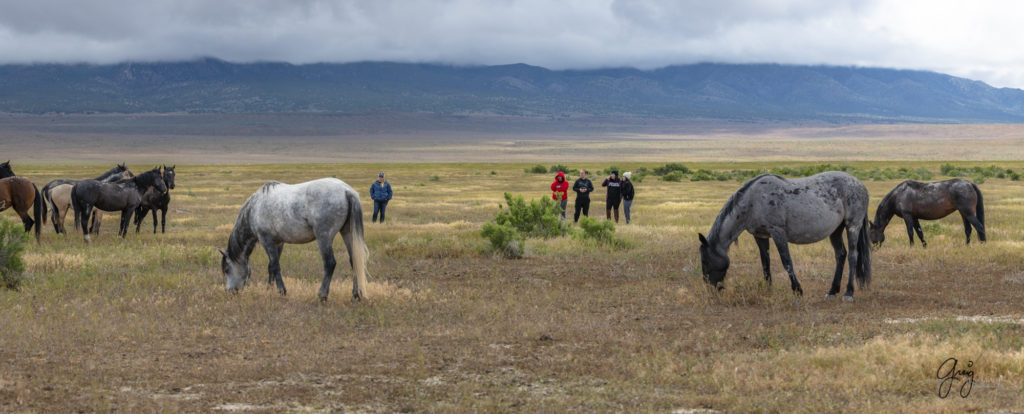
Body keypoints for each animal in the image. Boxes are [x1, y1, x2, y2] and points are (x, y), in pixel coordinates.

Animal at [218, 178, 370, 301]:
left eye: (226, 269)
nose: (230, 291)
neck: (254, 208)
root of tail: (346, 190)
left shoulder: (266, 240)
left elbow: (275, 266)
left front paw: (281, 291)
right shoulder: (278, 242)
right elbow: (271, 266)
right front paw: (269, 289)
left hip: (324, 237)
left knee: (330, 263)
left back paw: (322, 295)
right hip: (347, 233)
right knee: (354, 261)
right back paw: (355, 295)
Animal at [696, 171, 872, 301]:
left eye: (705, 261)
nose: (711, 288)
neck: (753, 200)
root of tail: (860, 184)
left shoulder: (778, 232)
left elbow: (786, 261)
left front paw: (798, 290)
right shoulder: (761, 236)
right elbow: (765, 263)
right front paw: (768, 289)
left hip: (852, 225)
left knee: (852, 256)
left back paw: (848, 293)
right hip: (836, 230)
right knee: (840, 255)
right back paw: (832, 291)